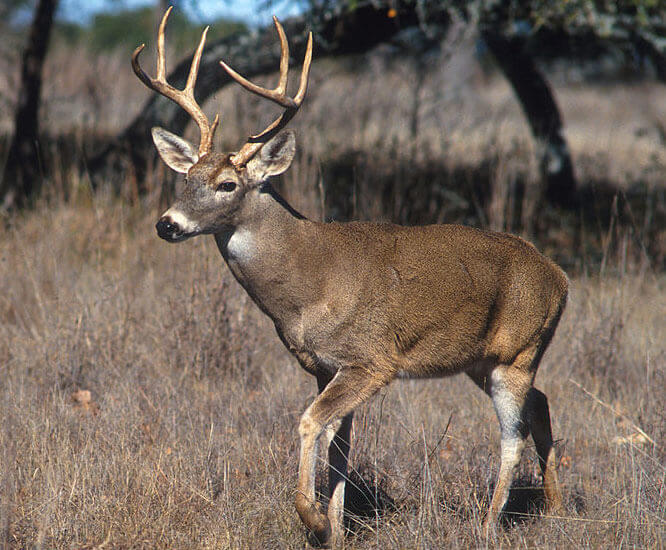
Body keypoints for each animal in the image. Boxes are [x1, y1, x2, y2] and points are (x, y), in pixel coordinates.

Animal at [132, 8, 567, 546]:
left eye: (227, 184)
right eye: (186, 178)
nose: (167, 224)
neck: (307, 284)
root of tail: (560, 277)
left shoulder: (371, 359)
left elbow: (308, 423)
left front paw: (314, 518)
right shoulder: (324, 365)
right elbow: (339, 446)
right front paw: (337, 529)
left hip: (517, 351)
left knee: (513, 434)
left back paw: (488, 525)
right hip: (484, 359)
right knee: (541, 404)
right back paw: (556, 508)